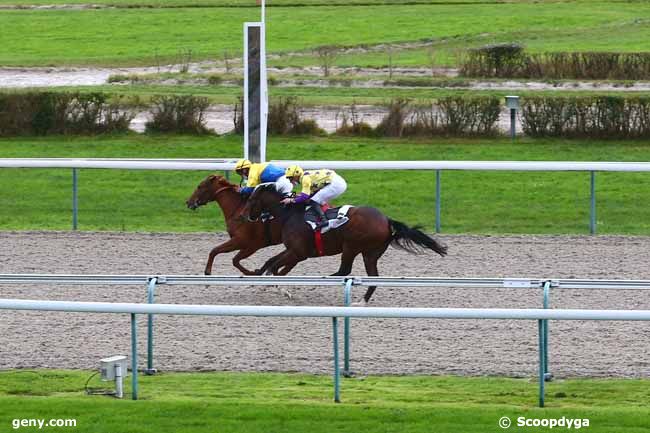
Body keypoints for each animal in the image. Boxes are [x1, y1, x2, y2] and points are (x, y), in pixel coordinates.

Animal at [240, 184, 448, 302]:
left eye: (251, 200)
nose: (243, 216)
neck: (291, 214)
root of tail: (386, 220)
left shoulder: (298, 252)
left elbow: (275, 266)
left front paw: (281, 289)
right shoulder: (294, 250)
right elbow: (270, 262)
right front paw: (265, 279)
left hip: (351, 247)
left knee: (344, 270)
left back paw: (320, 282)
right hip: (370, 253)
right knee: (372, 277)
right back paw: (361, 301)